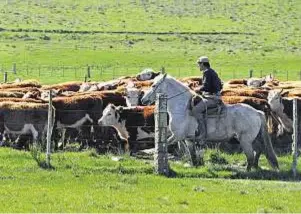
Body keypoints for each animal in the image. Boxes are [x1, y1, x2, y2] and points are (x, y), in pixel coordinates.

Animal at [141, 73, 278, 171]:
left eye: (154, 86)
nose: (143, 100)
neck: (182, 108)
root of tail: (257, 112)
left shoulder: (177, 135)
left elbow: (166, 144)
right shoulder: (187, 138)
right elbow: (191, 153)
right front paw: (195, 165)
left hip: (245, 140)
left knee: (250, 155)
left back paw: (247, 171)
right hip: (252, 139)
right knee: (258, 150)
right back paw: (255, 167)